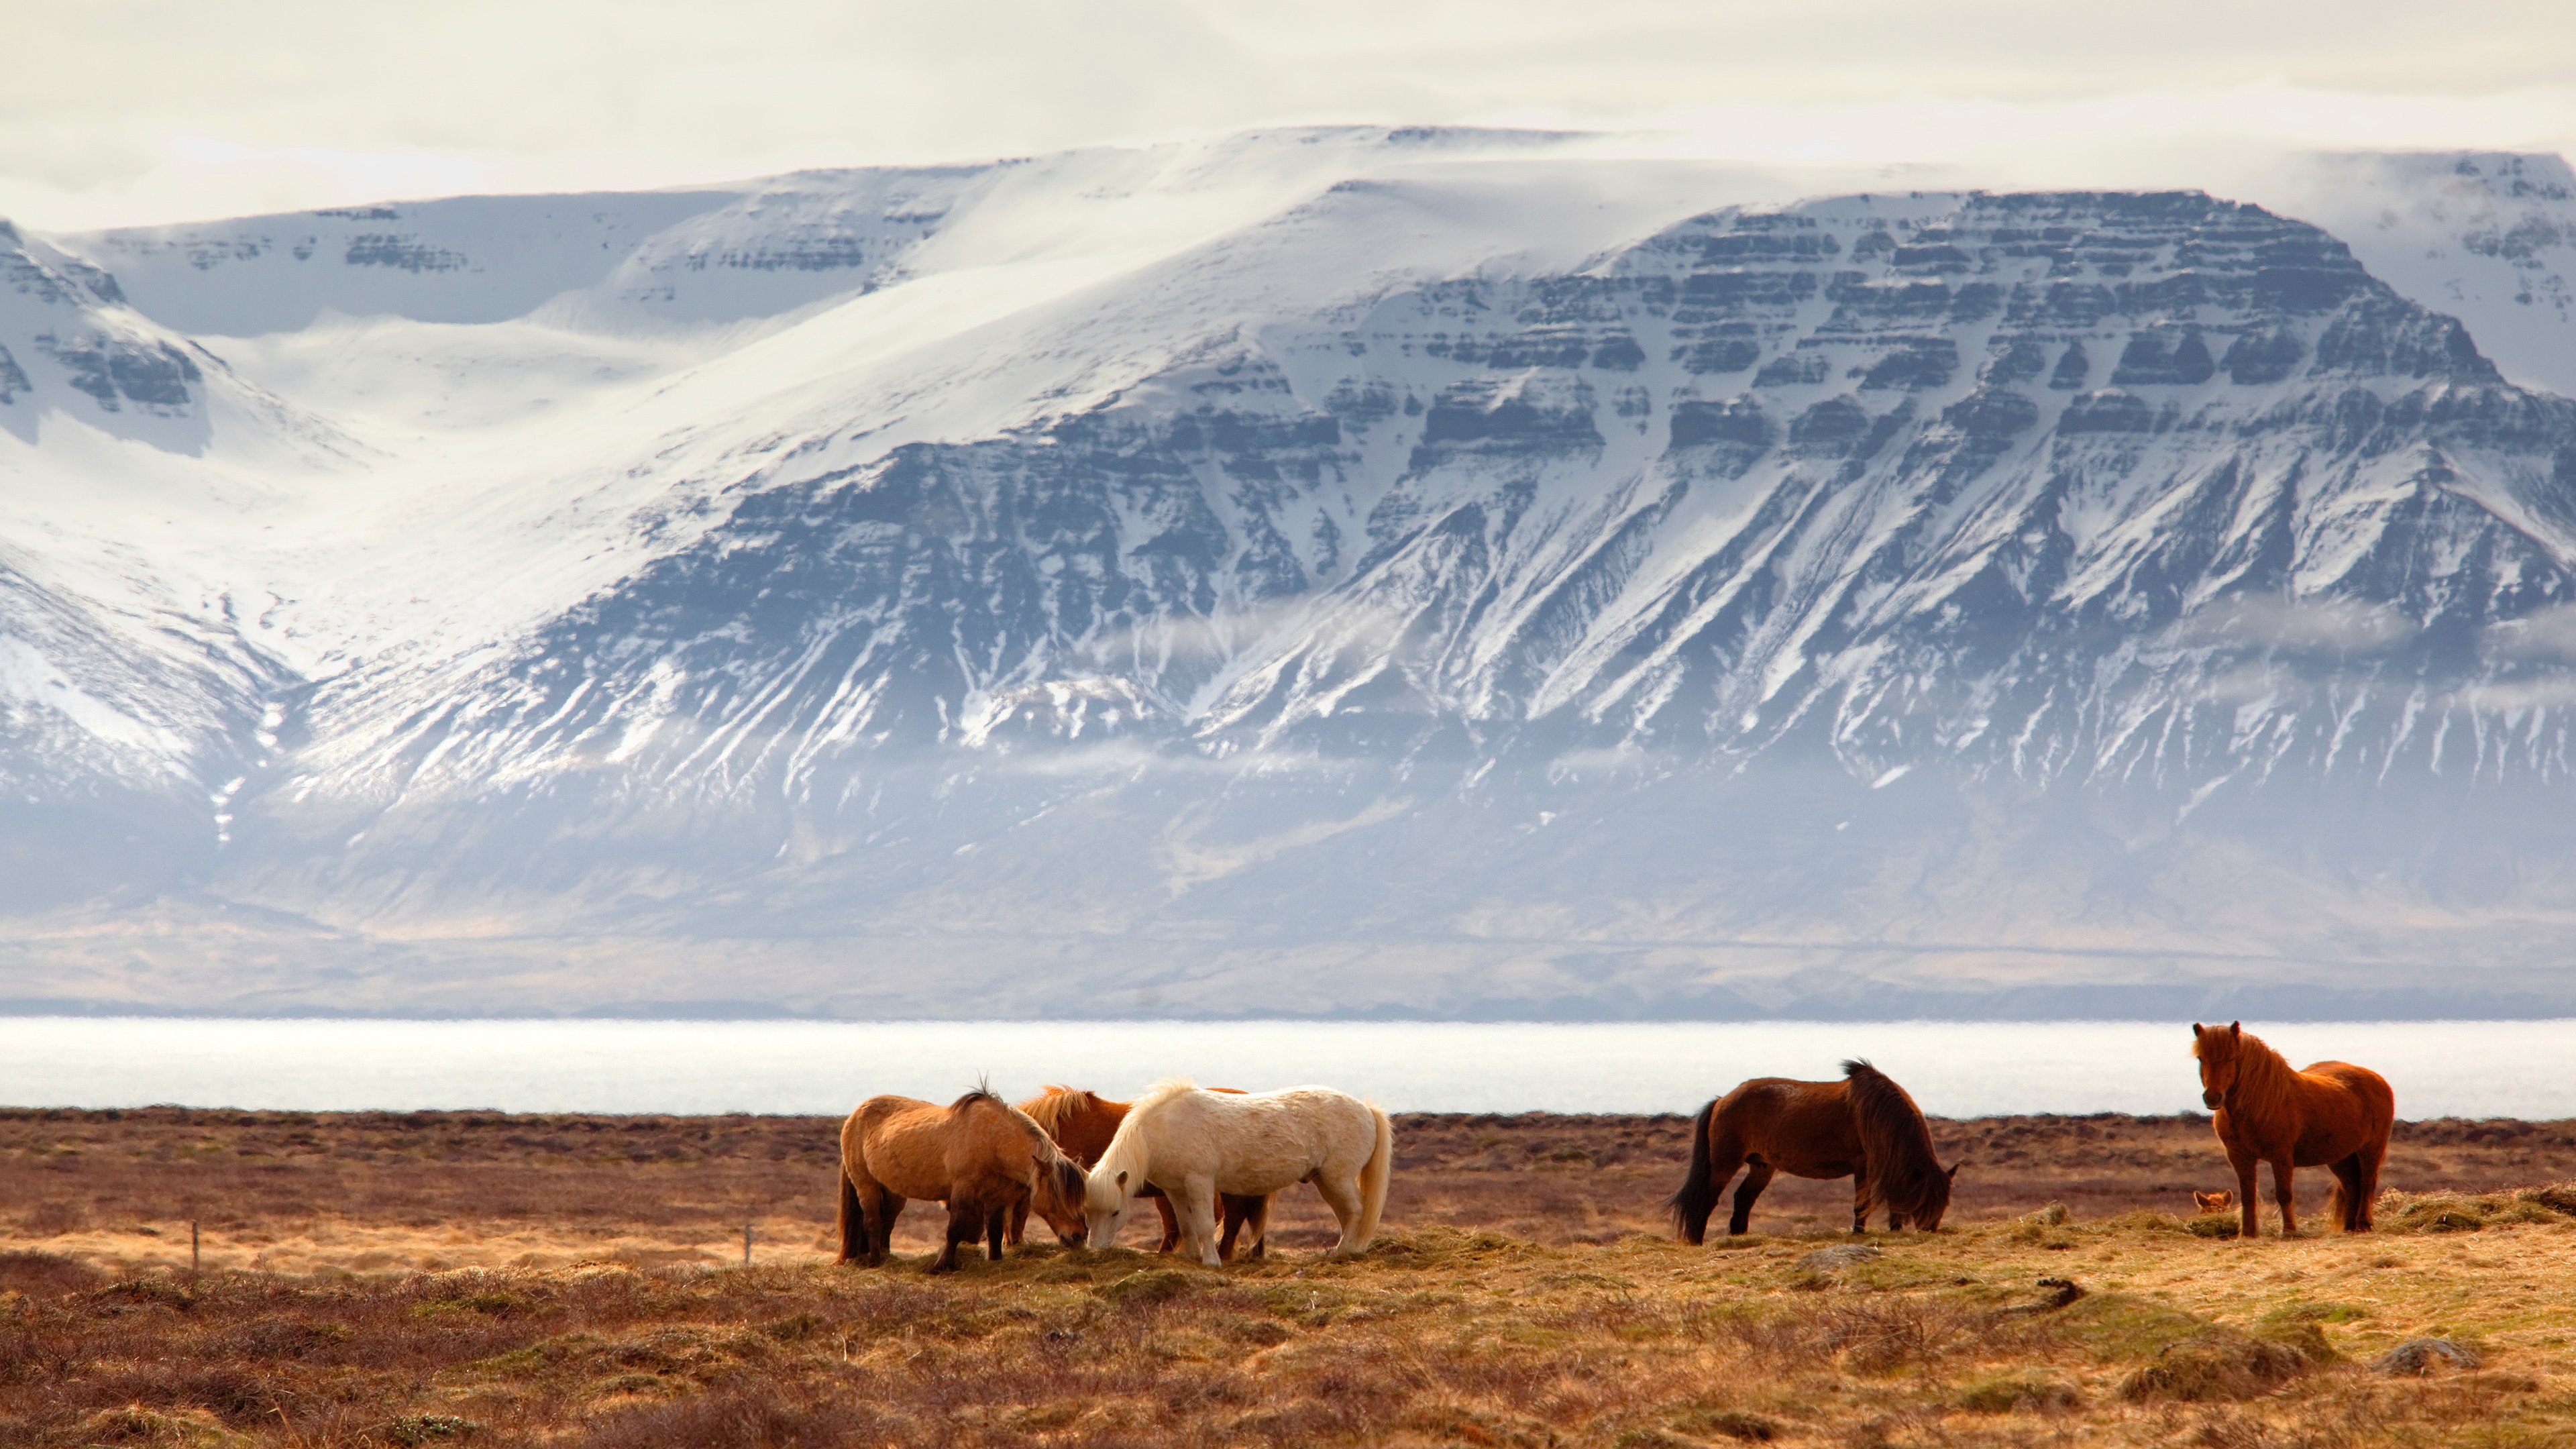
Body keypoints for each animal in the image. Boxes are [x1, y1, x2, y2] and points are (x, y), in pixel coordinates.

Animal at [839, 1077, 1092, 1268]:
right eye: (1058, 1197)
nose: (1079, 1237)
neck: (993, 1141)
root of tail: (854, 1116)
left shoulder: (996, 1198)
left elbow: (995, 1231)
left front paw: (995, 1260)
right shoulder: (963, 1189)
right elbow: (955, 1229)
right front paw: (942, 1266)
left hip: (893, 1192)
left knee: (887, 1222)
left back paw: (887, 1256)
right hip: (866, 1185)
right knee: (872, 1220)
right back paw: (875, 1261)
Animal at [1097, 1077, 1401, 1258]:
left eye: (1115, 1212)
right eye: (1089, 1210)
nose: (1095, 1250)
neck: (1165, 1126)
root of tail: (1367, 1109)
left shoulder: (1200, 1183)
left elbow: (1205, 1224)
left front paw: (1211, 1262)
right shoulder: (1176, 1190)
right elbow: (1186, 1225)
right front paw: (1194, 1258)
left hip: (1339, 1178)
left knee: (1356, 1210)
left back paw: (1344, 1251)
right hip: (1326, 1181)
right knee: (1346, 1213)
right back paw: (1344, 1249)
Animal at [1669, 1046, 1947, 1242]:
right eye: (1927, 1199)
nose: (1929, 1231)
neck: (1877, 1111)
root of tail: (1722, 1099)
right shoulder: (1863, 1166)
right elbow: (1862, 1204)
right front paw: (1859, 1233)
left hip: (1762, 1166)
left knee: (1743, 1198)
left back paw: (1738, 1237)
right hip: (1725, 1163)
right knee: (1707, 1198)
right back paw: (1697, 1240)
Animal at [2194, 1016, 2390, 1227]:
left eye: (2231, 1057)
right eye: (2201, 1059)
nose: (2213, 1098)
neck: (2258, 1102)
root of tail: (2378, 1080)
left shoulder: (2282, 1156)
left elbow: (2284, 1194)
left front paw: (2290, 1230)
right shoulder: (2240, 1157)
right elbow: (2248, 1198)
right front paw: (2249, 1232)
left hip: (2371, 1149)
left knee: (2368, 1183)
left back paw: (2364, 1224)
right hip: (2342, 1157)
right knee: (2352, 1186)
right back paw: (2350, 1227)